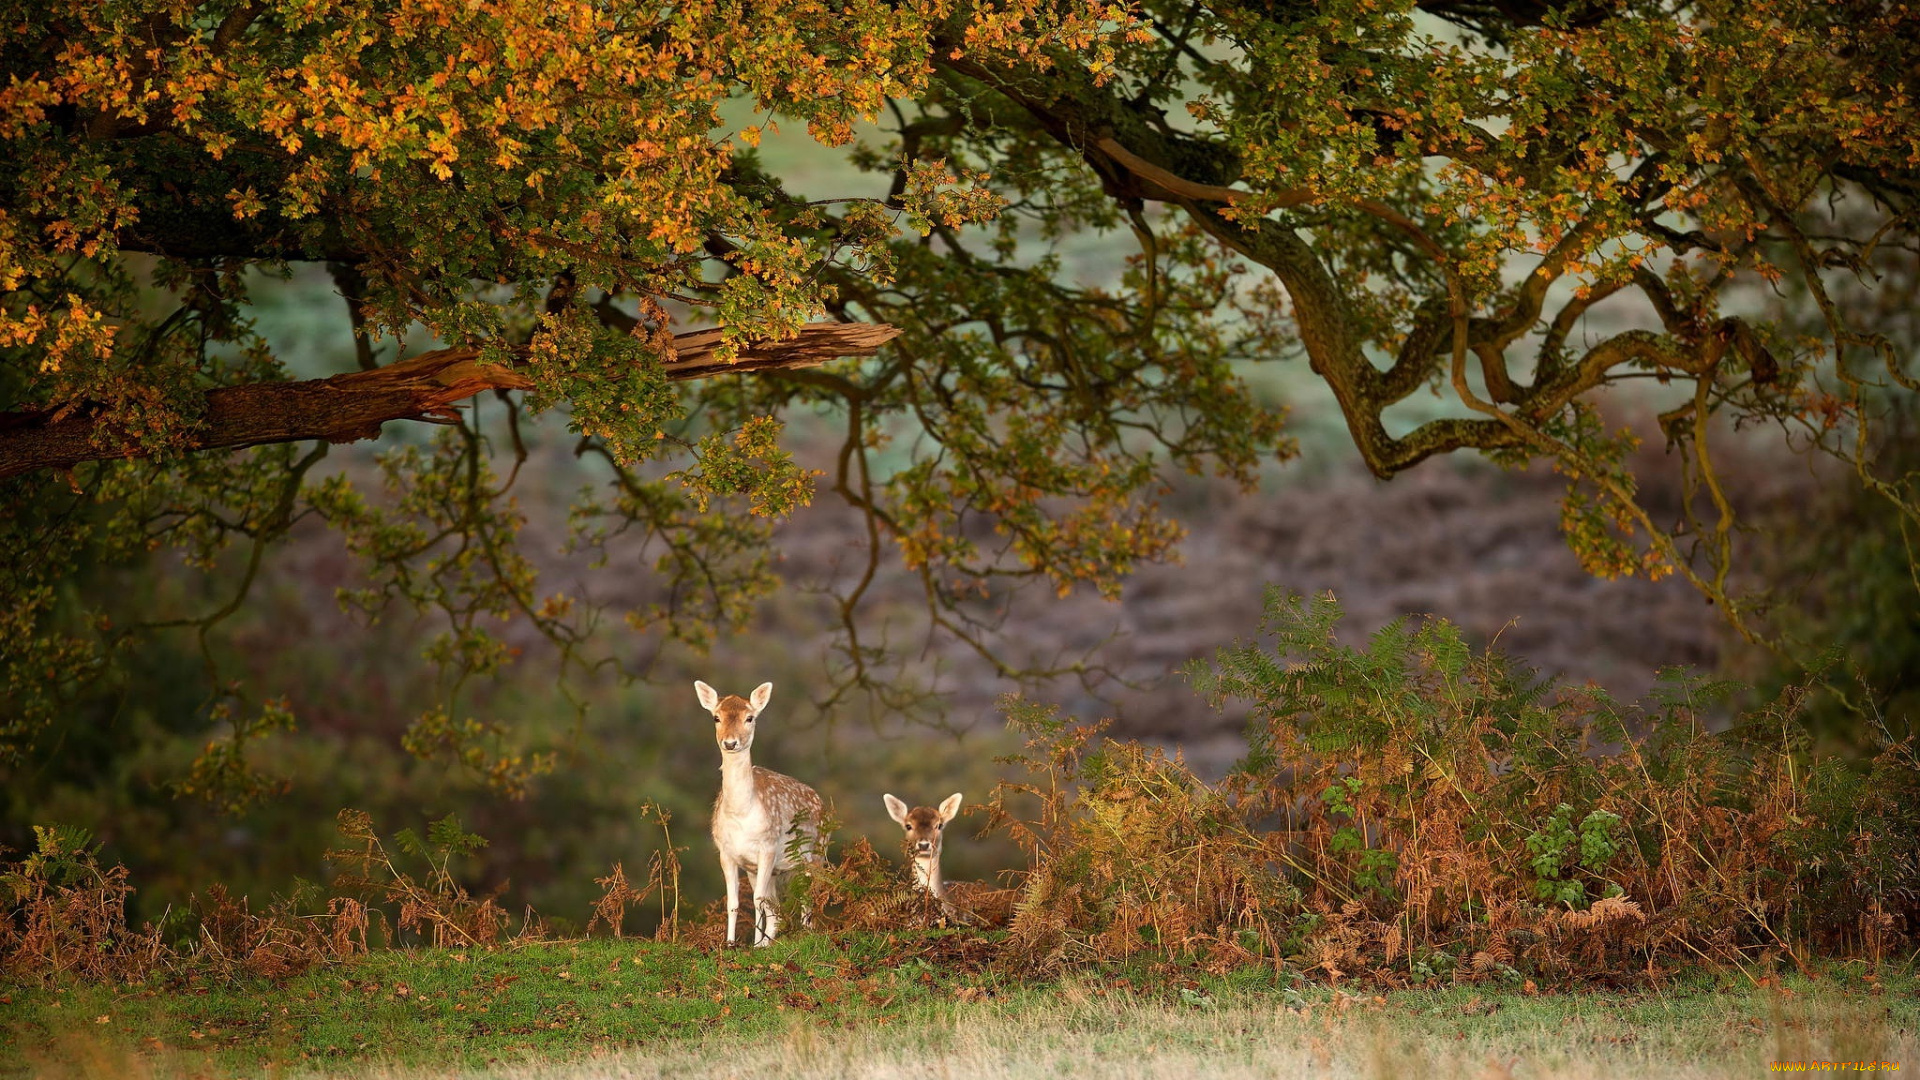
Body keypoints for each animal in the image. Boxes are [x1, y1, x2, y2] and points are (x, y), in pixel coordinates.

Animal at [698, 680, 822, 947]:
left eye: (750, 717)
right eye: (716, 717)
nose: (730, 743)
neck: (742, 814)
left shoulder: (768, 848)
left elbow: (757, 901)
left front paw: (753, 944)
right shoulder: (728, 853)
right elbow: (734, 902)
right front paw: (731, 944)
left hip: (817, 852)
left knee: (809, 896)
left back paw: (805, 934)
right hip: (768, 870)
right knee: (776, 908)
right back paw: (768, 943)